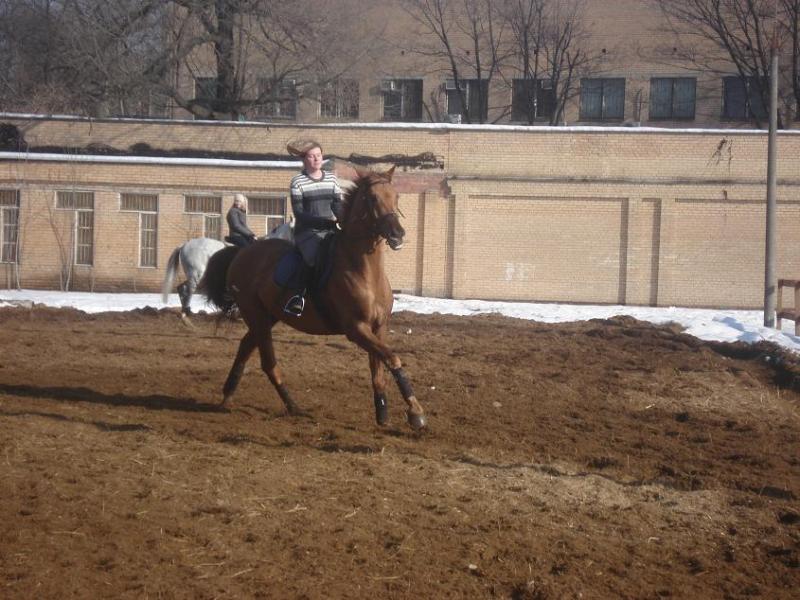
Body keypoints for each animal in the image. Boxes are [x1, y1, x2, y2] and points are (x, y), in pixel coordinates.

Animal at [162, 221, 294, 322]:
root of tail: (185, 245)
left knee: (181, 288)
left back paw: (186, 311)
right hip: (196, 275)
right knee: (188, 290)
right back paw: (186, 313)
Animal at [198, 168, 428, 432]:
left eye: (396, 196)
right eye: (372, 198)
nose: (397, 234)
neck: (365, 270)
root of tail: (242, 252)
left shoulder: (378, 327)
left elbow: (379, 370)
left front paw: (383, 414)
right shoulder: (356, 329)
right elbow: (392, 358)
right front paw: (416, 412)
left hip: (266, 317)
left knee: (245, 346)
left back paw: (227, 396)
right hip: (257, 317)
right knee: (268, 363)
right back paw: (293, 406)